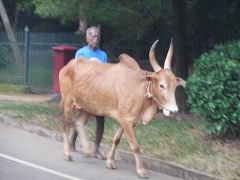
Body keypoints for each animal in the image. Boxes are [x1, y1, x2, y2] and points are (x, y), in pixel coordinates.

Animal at [58, 40, 186, 178]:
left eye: (175, 86)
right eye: (162, 85)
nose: (173, 110)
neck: (140, 89)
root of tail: (67, 66)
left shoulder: (125, 121)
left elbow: (116, 139)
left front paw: (110, 161)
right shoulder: (126, 120)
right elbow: (135, 146)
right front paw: (141, 170)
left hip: (87, 107)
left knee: (79, 123)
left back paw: (87, 150)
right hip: (68, 101)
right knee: (66, 124)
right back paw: (68, 153)